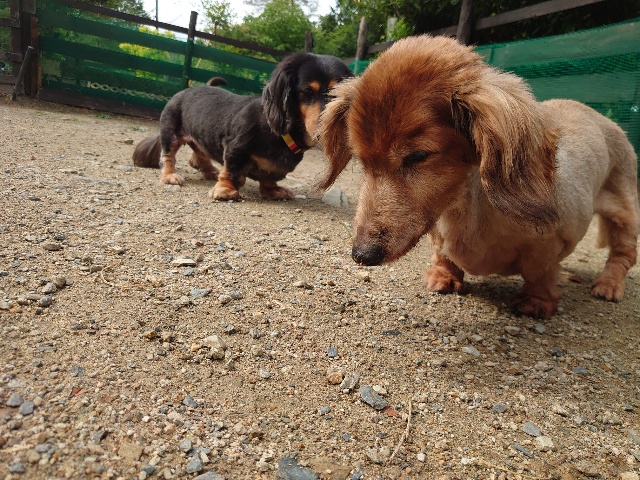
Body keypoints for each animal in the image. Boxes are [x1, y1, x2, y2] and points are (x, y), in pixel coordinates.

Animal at [133, 52, 352, 200]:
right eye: (307, 92)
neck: (280, 134)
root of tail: (184, 91)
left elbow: (269, 178)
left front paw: (274, 190)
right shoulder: (235, 148)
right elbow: (233, 171)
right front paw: (225, 190)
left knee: (198, 154)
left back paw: (209, 170)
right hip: (171, 133)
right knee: (168, 156)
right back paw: (170, 176)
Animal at [318, 35, 639, 319]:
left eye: (418, 156)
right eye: (361, 160)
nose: (362, 255)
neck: (464, 206)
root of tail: (605, 120)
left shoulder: (548, 243)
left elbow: (540, 271)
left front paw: (537, 301)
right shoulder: (435, 226)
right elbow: (442, 251)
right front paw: (444, 276)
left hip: (624, 212)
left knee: (623, 254)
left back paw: (608, 284)